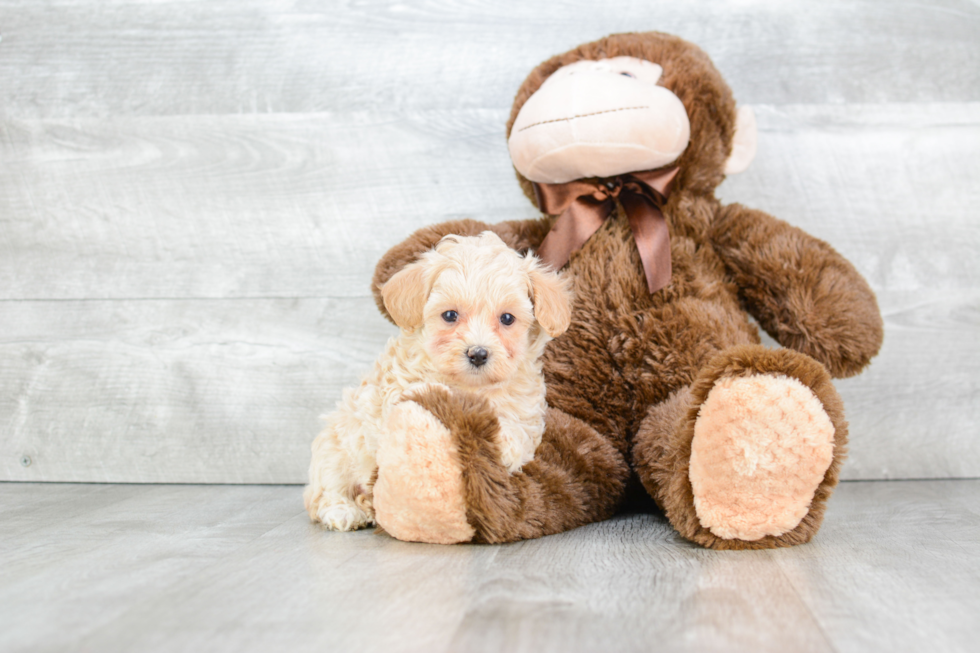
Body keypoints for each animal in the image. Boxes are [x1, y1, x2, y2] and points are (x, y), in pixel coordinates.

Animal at [302, 229, 572, 528]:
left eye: (507, 318)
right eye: (450, 315)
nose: (478, 354)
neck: (471, 387)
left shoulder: (525, 412)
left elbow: (516, 432)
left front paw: (500, 445)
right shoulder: (401, 394)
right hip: (334, 449)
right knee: (326, 491)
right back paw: (345, 511)